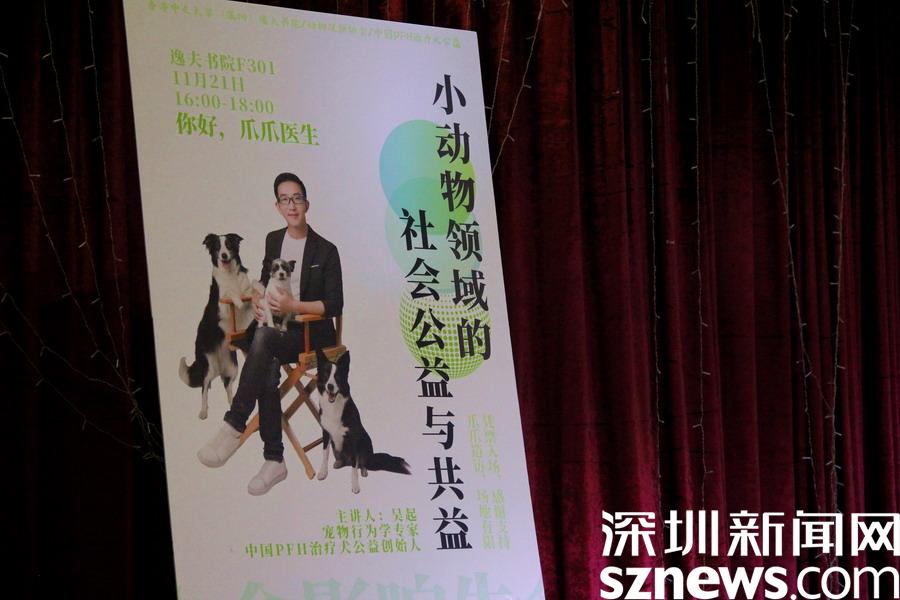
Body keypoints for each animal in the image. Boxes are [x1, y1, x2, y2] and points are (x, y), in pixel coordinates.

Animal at [179, 233, 256, 419]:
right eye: (217, 248)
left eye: (228, 245)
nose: (224, 256)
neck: (230, 275)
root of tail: (219, 367)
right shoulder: (222, 304)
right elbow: (231, 295)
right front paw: (237, 299)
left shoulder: (247, 297)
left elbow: (252, 290)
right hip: (208, 365)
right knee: (205, 387)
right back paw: (203, 411)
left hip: (232, 368)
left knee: (227, 386)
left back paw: (231, 403)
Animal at [315, 349, 411, 493]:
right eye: (326, 374)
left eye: (338, 376)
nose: (330, 386)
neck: (334, 406)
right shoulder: (326, 433)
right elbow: (324, 454)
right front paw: (322, 472)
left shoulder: (353, 437)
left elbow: (354, 467)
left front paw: (355, 485)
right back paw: (338, 463)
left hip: (365, 441)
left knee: (360, 462)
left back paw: (364, 471)